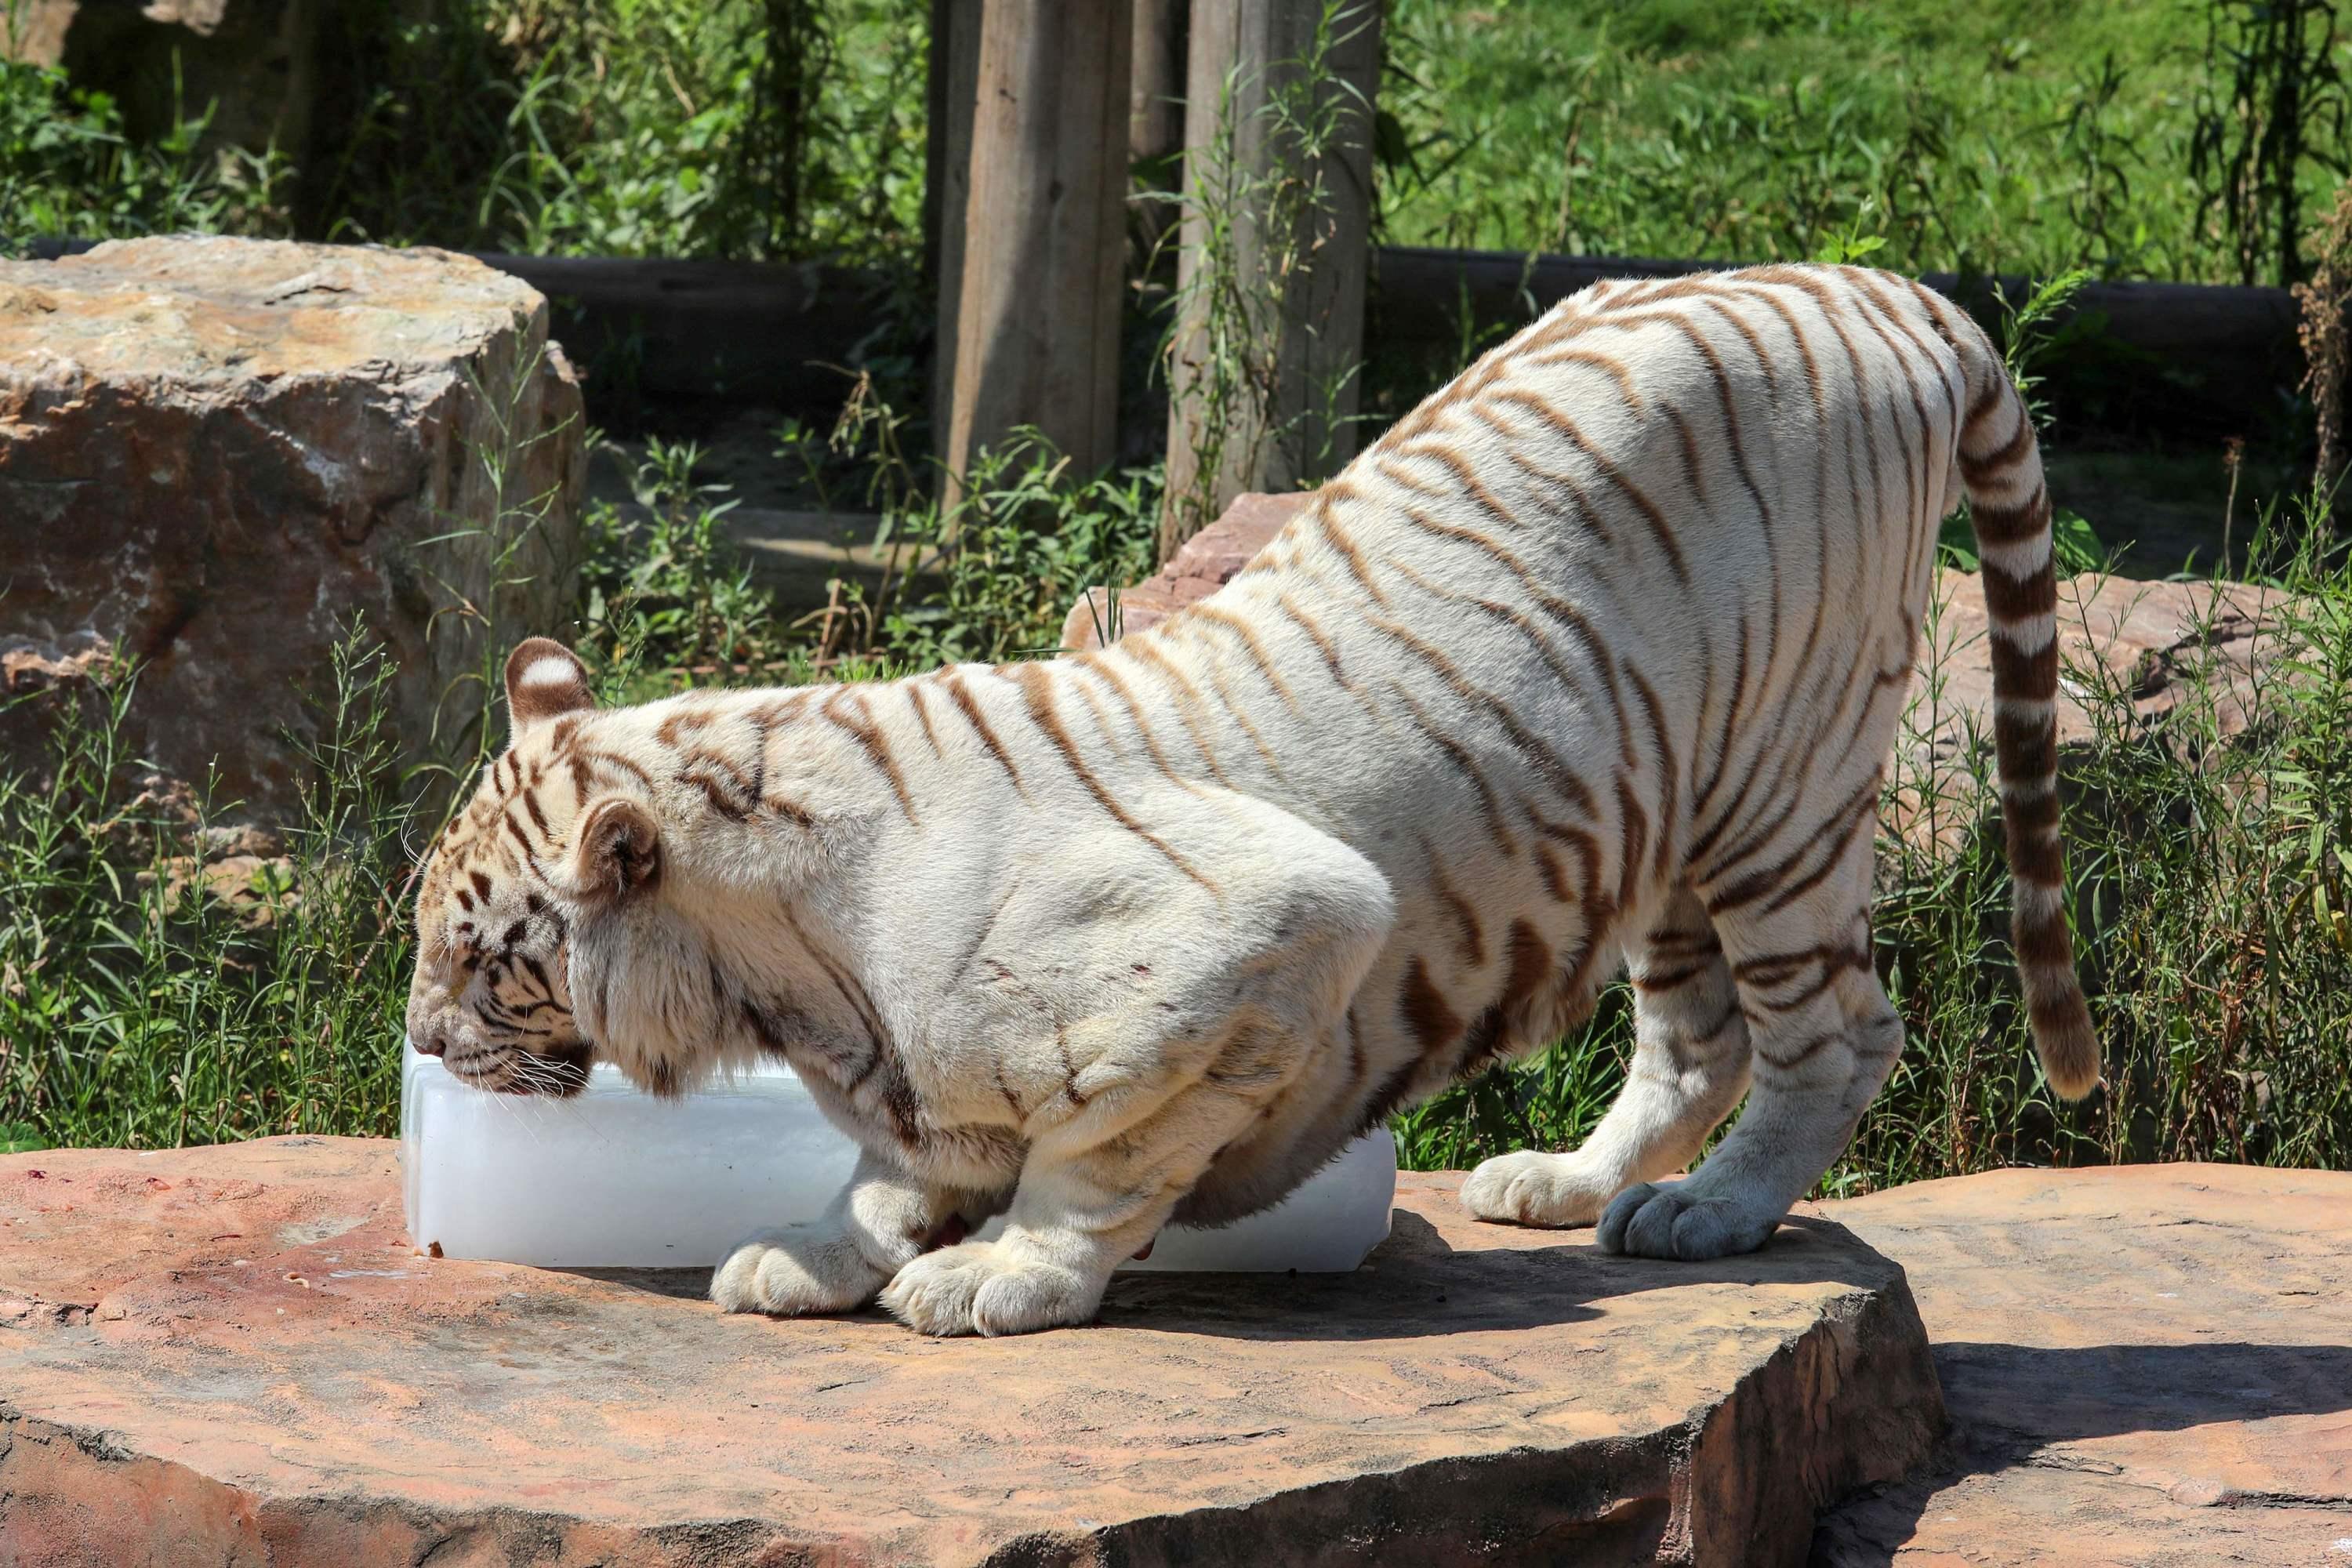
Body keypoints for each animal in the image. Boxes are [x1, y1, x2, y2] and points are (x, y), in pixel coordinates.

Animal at [405, 267, 2098, 1335]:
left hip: (1781, 794)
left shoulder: (1273, 929)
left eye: (485, 957)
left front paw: (1003, 1277)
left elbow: (1095, 1161)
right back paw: (1574, 1184)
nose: (419, 1043)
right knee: (1698, 1035)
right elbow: (896, 1172)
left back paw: (1720, 1213)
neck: (783, 973)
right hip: (1668, 813)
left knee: (1837, 1030)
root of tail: (1883, 287)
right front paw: (821, 1253)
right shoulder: (913, 1080)